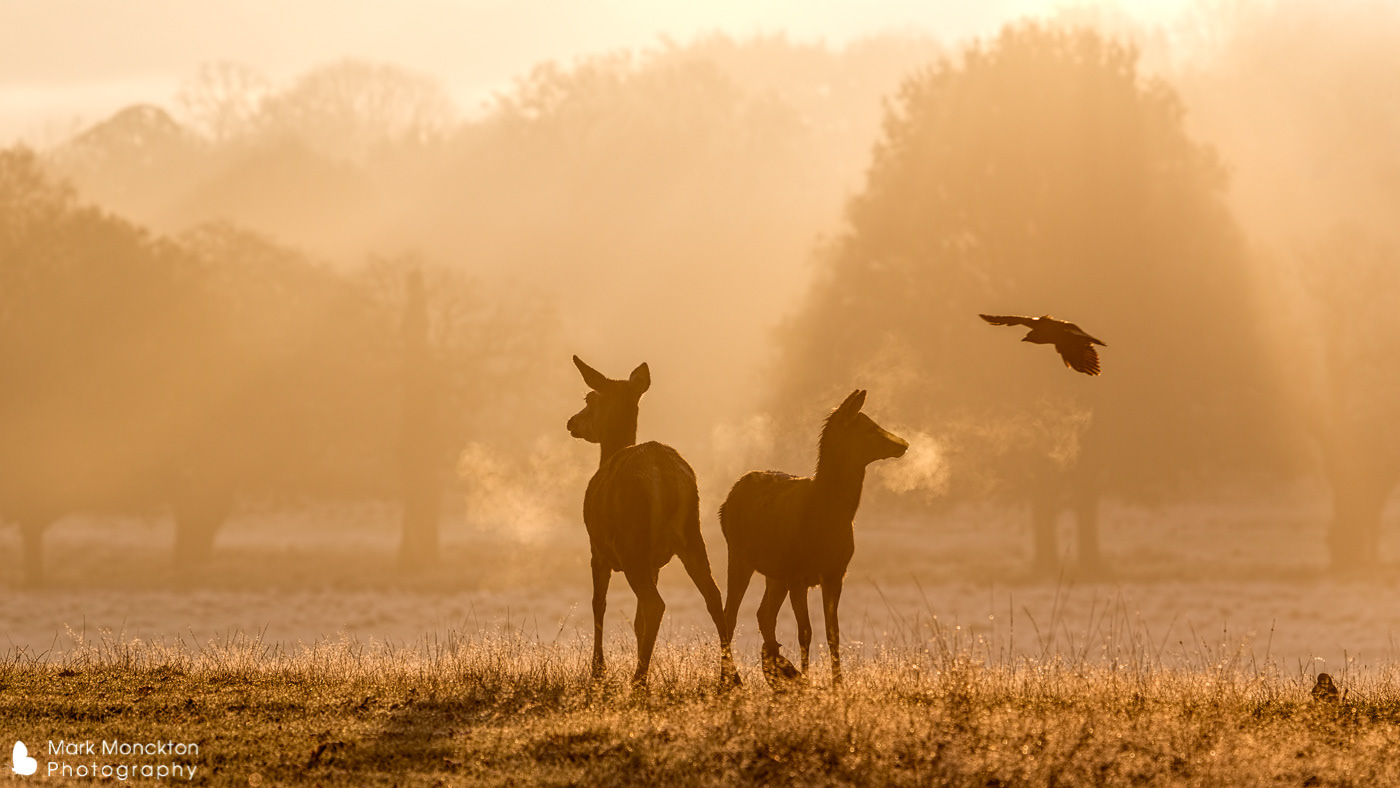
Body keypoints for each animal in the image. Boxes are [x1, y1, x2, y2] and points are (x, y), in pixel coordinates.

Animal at [566, 355, 733, 689]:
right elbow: (636, 619)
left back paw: (638, 680)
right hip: (691, 535)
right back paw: (729, 678)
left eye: (589, 398)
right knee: (713, 594)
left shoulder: (597, 549)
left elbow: (598, 603)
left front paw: (598, 671)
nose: (571, 422)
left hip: (631, 542)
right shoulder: (654, 562)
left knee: (656, 604)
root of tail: (662, 473)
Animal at [719, 389, 907, 689]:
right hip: (739, 554)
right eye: (868, 428)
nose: (904, 444)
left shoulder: (835, 573)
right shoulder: (798, 574)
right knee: (730, 614)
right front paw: (807, 682)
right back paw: (730, 679)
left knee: (763, 614)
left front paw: (837, 684)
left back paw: (777, 669)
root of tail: (725, 503)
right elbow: (805, 631)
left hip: (775, 573)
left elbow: (833, 632)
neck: (826, 518)